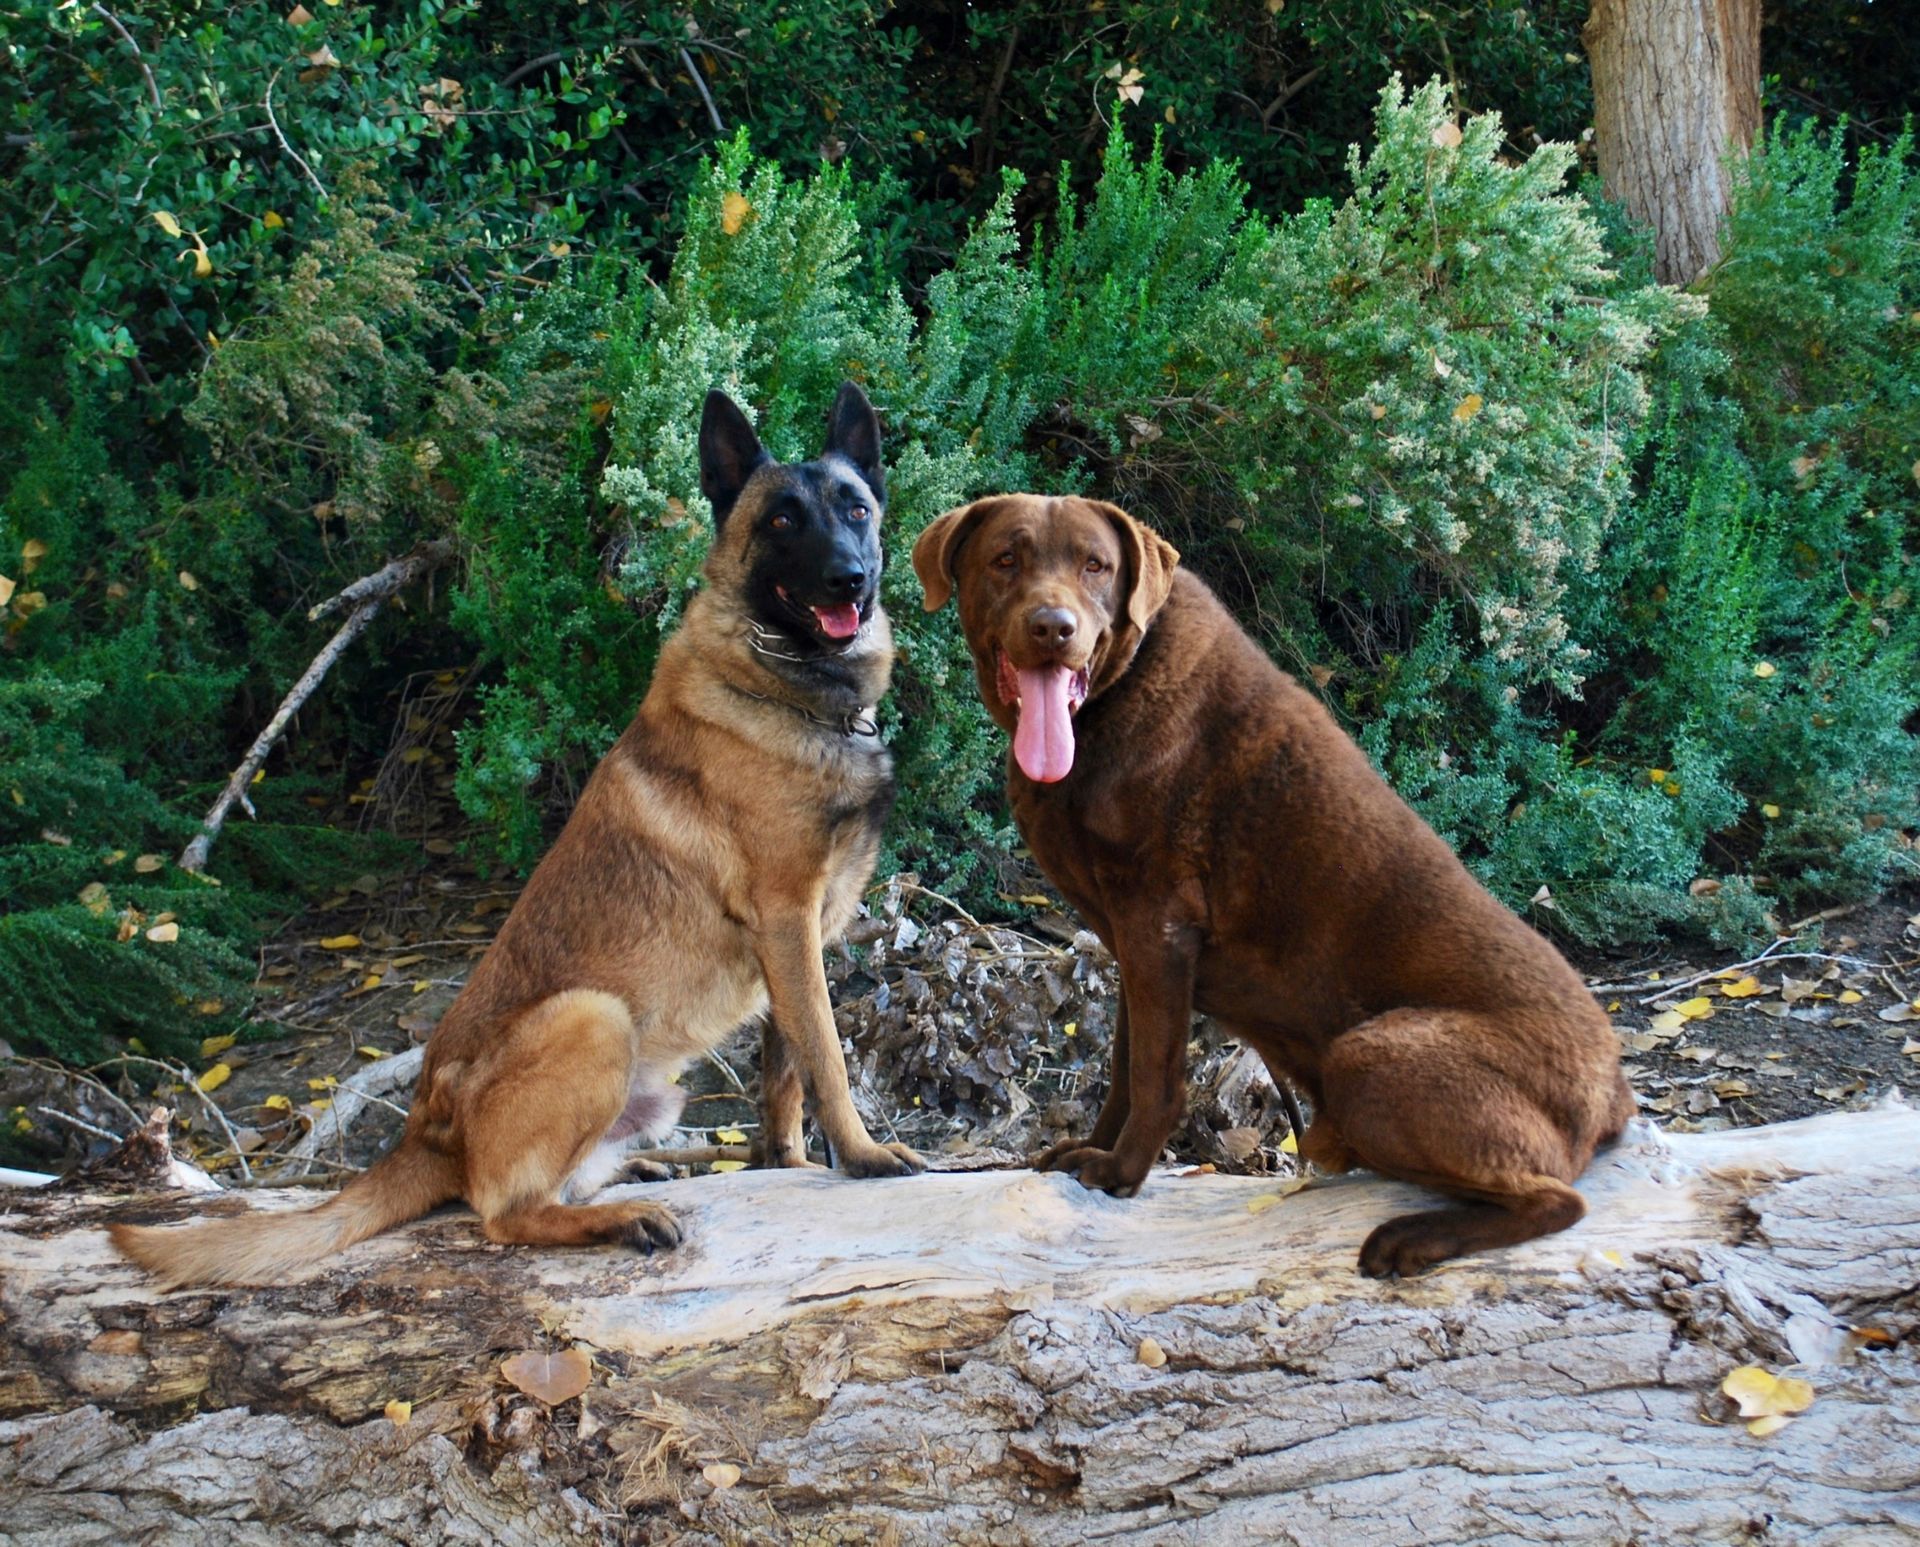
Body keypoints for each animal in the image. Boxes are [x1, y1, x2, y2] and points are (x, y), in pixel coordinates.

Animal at [116, 381, 925, 1289]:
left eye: (855, 509)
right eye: (783, 520)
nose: (848, 577)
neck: (788, 693)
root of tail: (425, 1131)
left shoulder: (800, 941)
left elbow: (785, 1074)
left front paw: (789, 1165)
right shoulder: (788, 925)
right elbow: (826, 1056)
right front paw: (863, 1154)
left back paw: (631, 1174)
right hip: (593, 1016)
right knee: (502, 1213)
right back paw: (620, 1215)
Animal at [913, 499, 1635, 1282]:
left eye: (1095, 566)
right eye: (1005, 560)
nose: (1054, 627)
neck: (1112, 699)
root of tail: (1614, 1093)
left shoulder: (1157, 924)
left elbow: (1154, 1075)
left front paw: (1120, 1172)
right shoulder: (1135, 947)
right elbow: (1123, 1068)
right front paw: (1090, 1153)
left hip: (1372, 1057)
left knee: (1556, 1198)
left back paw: (1412, 1236)